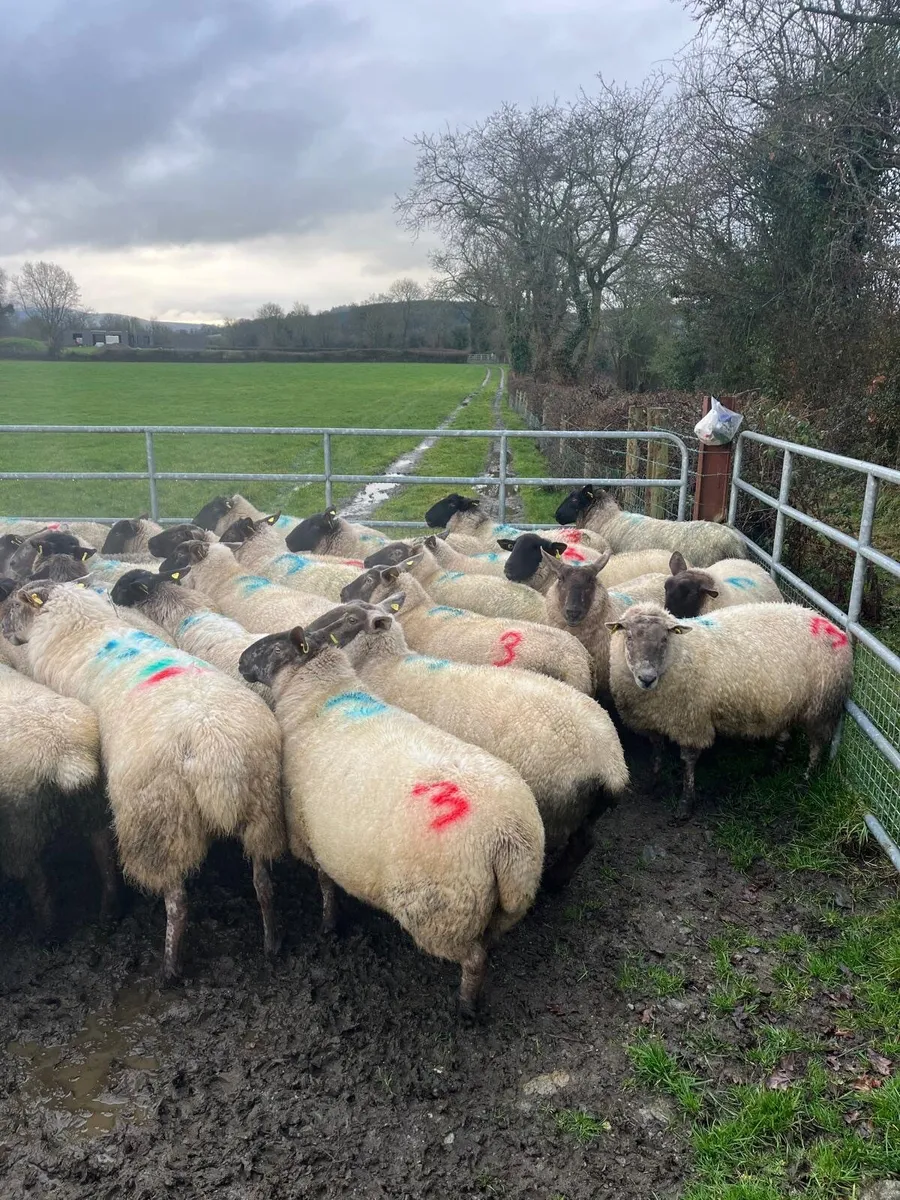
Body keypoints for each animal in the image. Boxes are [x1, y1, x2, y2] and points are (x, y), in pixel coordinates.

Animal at [0, 661, 116, 932]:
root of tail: (67, 756)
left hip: (20, 830)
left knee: (39, 886)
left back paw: (46, 933)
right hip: (94, 806)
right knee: (106, 863)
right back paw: (107, 916)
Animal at [238, 619, 544, 1016]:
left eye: (275, 647)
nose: (241, 660)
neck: (316, 699)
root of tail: (509, 837)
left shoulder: (310, 837)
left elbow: (325, 884)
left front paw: (329, 924)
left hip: (443, 912)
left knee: (474, 960)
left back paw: (465, 1008)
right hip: (500, 907)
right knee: (488, 946)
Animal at [308, 596, 629, 887]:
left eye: (350, 619)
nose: (309, 632)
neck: (385, 663)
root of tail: (611, 761)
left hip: (556, 804)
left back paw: (551, 883)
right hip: (585, 810)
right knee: (586, 841)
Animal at [607, 602, 854, 818]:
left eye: (665, 638)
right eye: (629, 637)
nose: (646, 678)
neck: (680, 653)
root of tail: (833, 626)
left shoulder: (692, 721)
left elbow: (688, 761)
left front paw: (685, 803)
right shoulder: (652, 719)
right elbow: (657, 750)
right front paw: (654, 781)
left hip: (820, 708)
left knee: (817, 746)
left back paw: (806, 778)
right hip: (790, 703)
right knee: (785, 733)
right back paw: (773, 764)